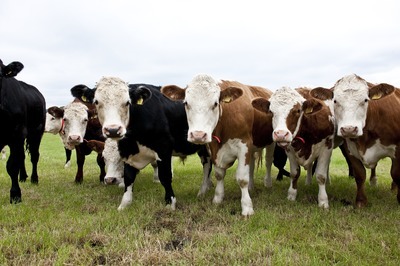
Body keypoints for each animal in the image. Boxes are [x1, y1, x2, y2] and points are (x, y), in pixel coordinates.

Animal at [0, 59, 46, 203]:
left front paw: (15, 195)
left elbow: (12, 165)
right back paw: (23, 177)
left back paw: (34, 178)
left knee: (34, 156)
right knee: (22, 156)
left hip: (36, 132)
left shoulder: (17, 134)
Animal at [69, 78, 212, 211]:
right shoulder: (127, 152)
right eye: (97, 102)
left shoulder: (163, 149)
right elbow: (128, 177)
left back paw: (202, 191)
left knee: (207, 166)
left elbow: (165, 176)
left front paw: (170, 203)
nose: (113, 130)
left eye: (127, 102)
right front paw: (124, 204)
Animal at [161, 73, 276, 216]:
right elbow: (219, 174)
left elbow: (242, 178)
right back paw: (251, 187)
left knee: (268, 161)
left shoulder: (244, 144)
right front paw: (218, 198)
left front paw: (247, 207)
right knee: (252, 164)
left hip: (270, 142)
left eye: (215, 103)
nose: (198, 135)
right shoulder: (214, 149)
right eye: (186, 103)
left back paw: (268, 183)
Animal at [310, 74, 400, 207]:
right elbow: (360, 174)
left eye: (366, 100)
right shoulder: (350, 150)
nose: (349, 129)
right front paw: (361, 201)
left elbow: (396, 173)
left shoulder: (398, 149)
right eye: (335, 101)